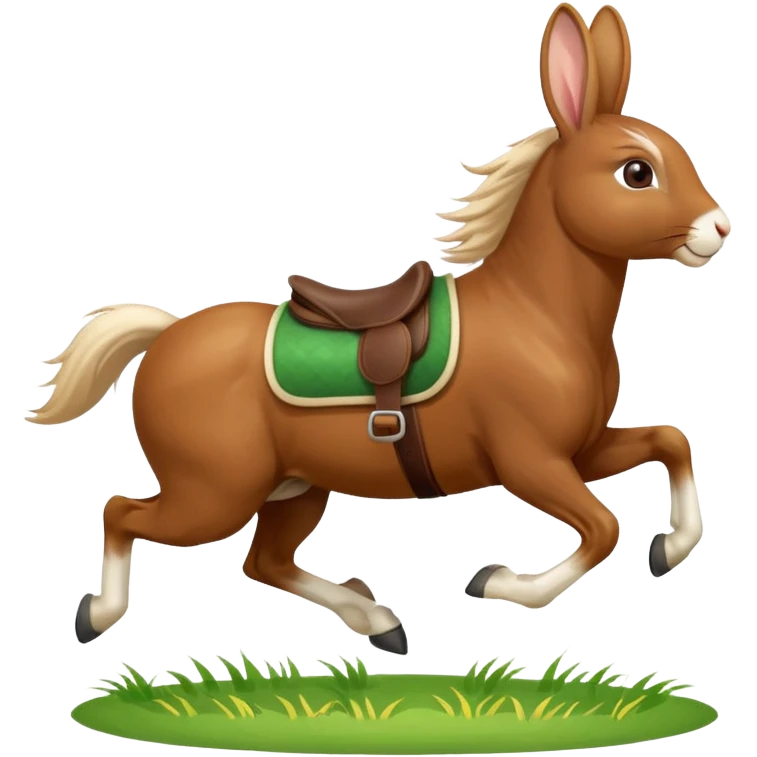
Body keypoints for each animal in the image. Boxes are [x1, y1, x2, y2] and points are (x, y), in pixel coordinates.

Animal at [29, 2, 729, 656]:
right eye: (637, 171)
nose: (719, 229)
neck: (536, 313)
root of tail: (166, 334)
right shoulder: (530, 461)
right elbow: (604, 528)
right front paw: (499, 582)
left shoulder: (581, 450)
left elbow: (670, 442)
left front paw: (671, 547)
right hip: (214, 494)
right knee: (122, 512)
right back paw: (98, 614)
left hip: (294, 488)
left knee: (264, 560)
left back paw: (376, 618)